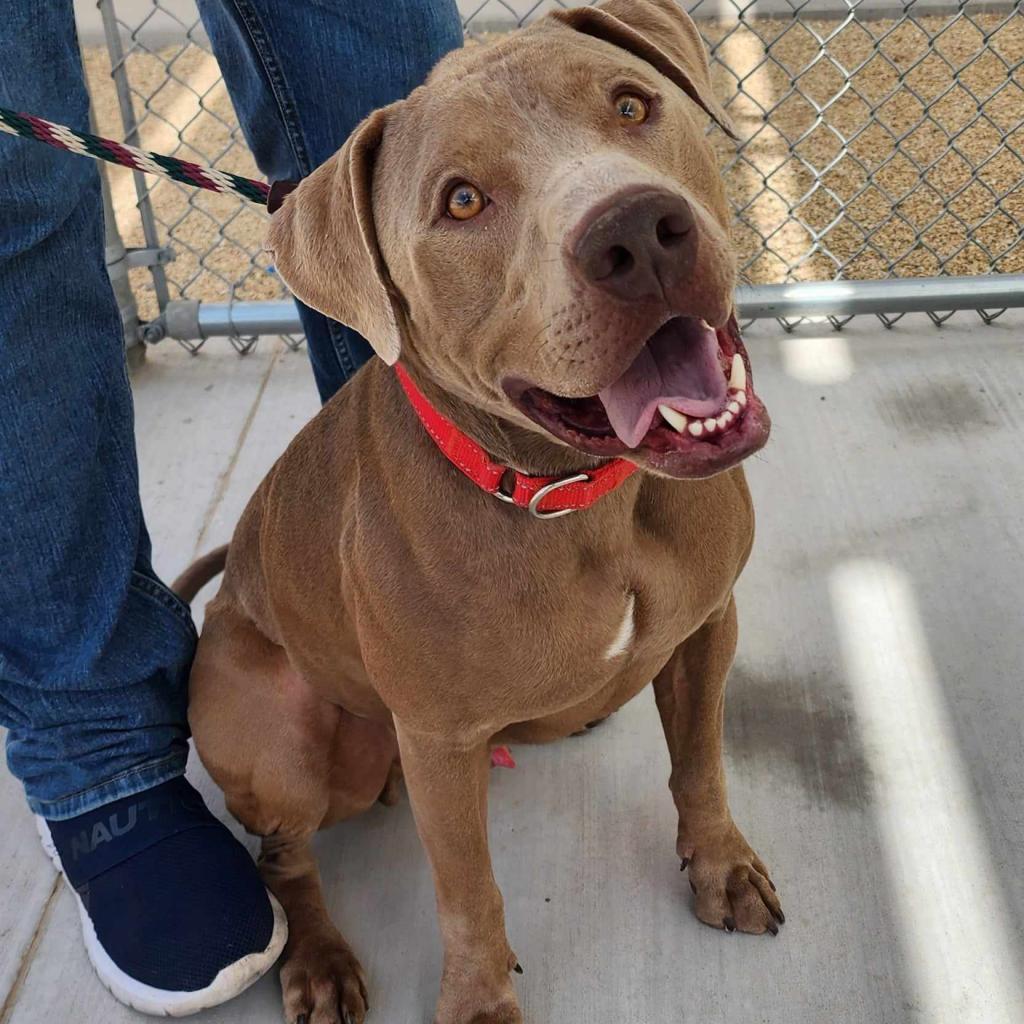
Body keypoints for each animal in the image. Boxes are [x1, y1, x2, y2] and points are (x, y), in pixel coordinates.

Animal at [180, 4, 778, 1019]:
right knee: (282, 859)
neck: (575, 499)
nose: (638, 232)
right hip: (278, 738)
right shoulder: (440, 743)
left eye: (631, 105)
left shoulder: (708, 626)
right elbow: (467, 890)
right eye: (461, 202)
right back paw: (319, 961)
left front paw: (721, 866)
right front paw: (477, 1001)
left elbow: (699, 760)